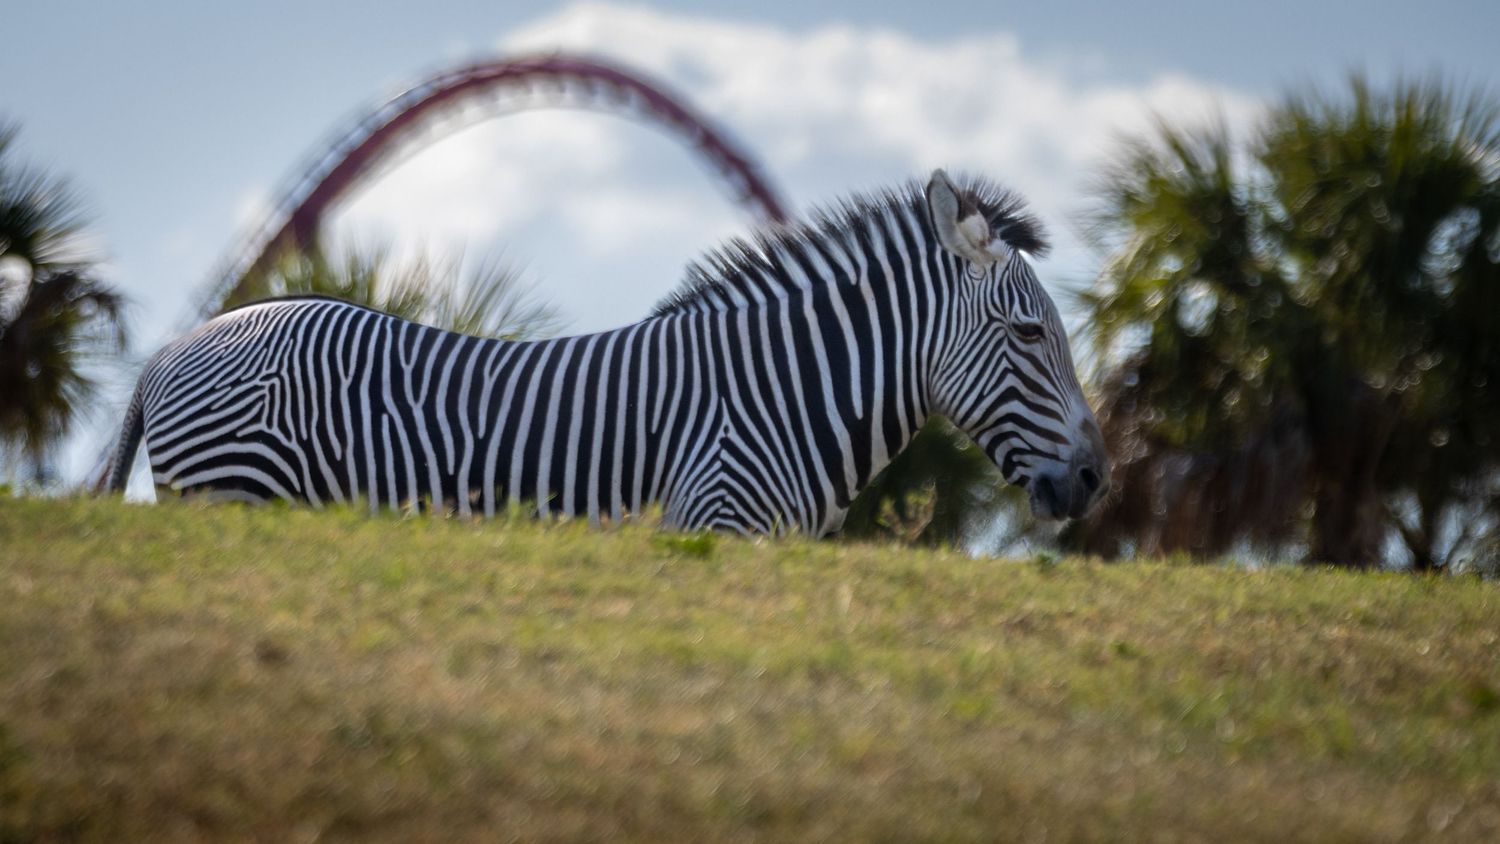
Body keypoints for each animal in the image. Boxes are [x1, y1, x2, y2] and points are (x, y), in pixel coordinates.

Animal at [105, 170, 1109, 535]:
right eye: (1030, 335)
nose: (1098, 481)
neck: (780, 396)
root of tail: (170, 351)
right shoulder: (709, 528)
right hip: (233, 495)